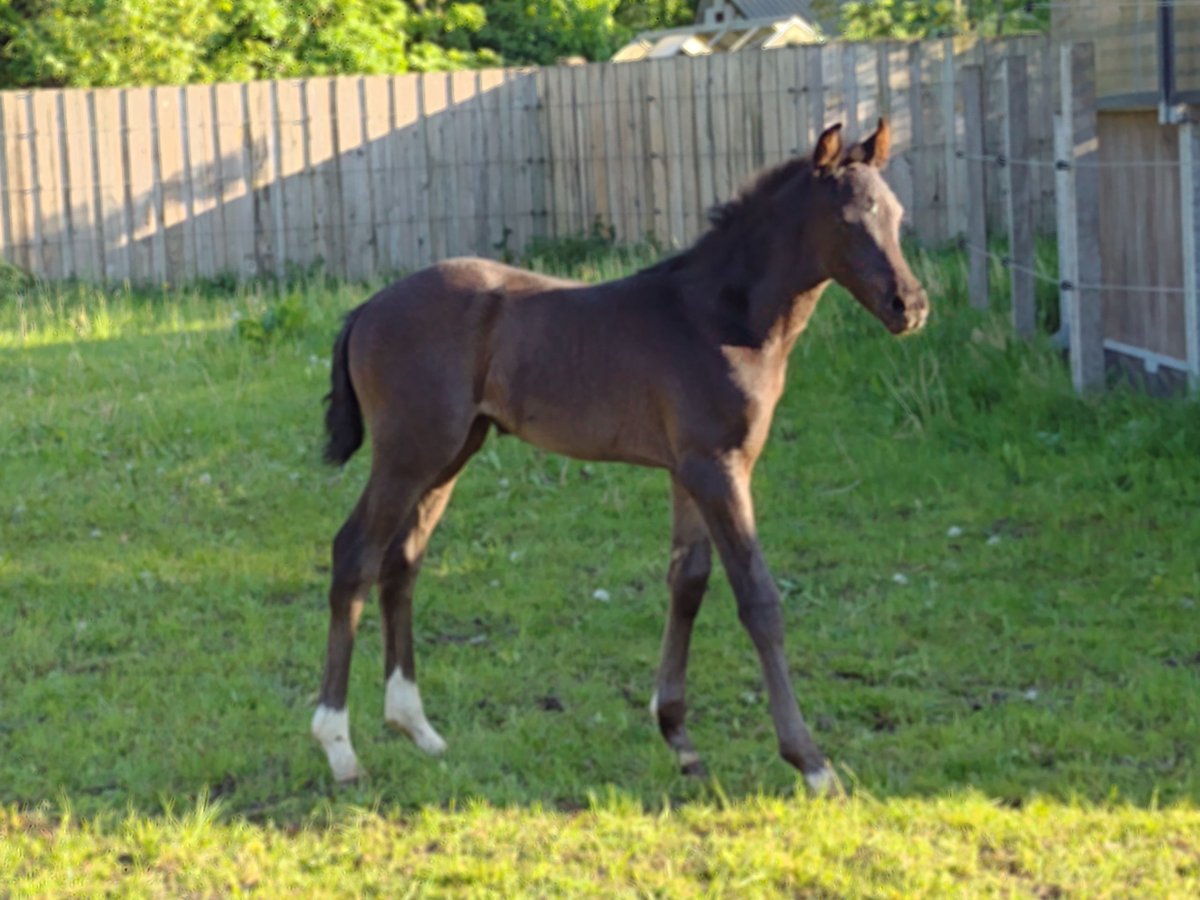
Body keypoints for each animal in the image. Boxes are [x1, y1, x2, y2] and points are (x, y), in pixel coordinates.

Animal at [309, 120, 926, 796]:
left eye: (896, 214)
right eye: (847, 219)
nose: (910, 305)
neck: (720, 317)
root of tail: (367, 308)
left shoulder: (690, 471)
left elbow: (687, 583)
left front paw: (679, 739)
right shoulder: (719, 468)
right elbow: (758, 599)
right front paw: (811, 763)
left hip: (450, 454)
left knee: (402, 561)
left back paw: (417, 728)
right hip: (408, 453)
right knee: (355, 554)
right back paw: (339, 748)